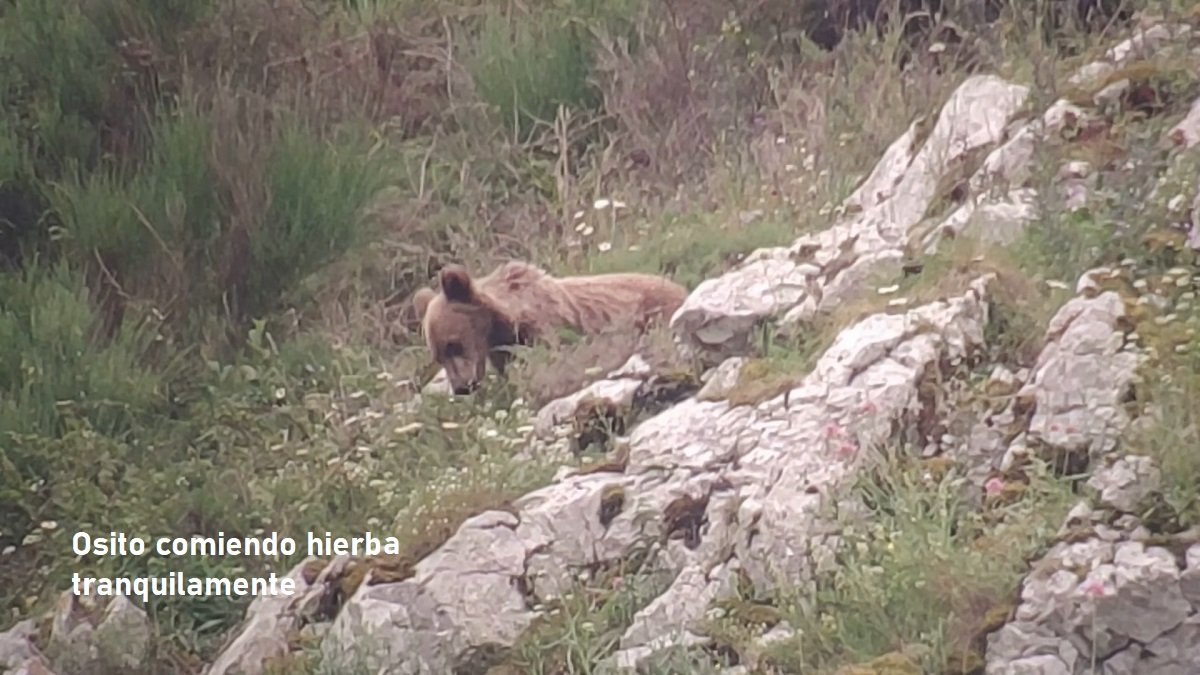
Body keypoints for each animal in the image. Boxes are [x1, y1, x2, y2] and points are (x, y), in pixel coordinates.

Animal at [412, 261, 689, 395]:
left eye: (453, 344)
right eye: (439, 356)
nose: (462, 387)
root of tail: (682, 288)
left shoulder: (547, 326)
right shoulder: (501, 350)